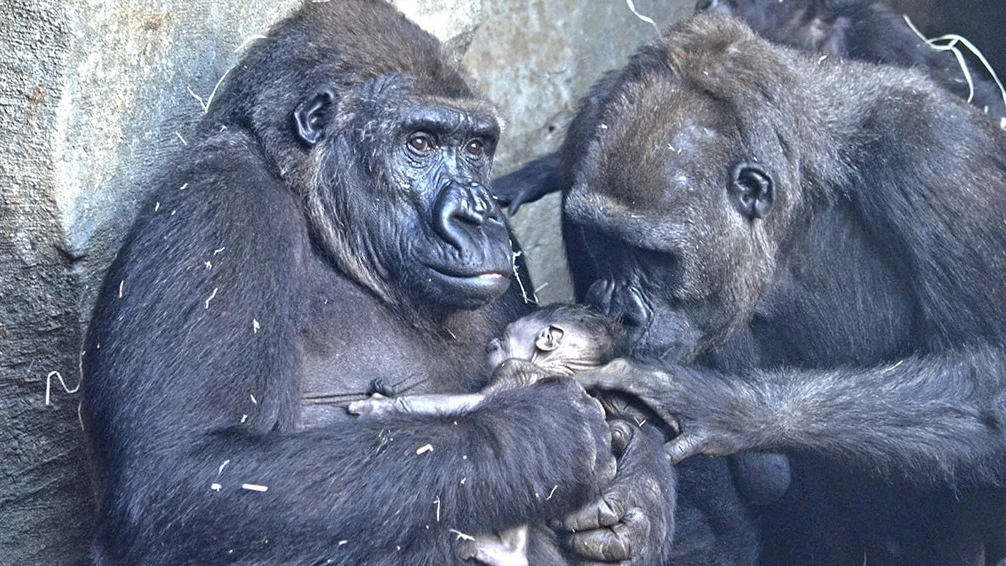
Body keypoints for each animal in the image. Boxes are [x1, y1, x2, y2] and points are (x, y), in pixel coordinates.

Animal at [78, 2, 676, 562]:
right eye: (421, 143)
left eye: (476, 148)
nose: (478, 213)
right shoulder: (216, 206)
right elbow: (189, 477)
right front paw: (543, 437)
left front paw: (640, 494)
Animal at [507, 12, 1006, 566]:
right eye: (601, 241)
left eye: (653, 257)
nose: (617, 308)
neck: (800, 198)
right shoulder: (584, 136)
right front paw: (644, 481)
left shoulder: (938, 157)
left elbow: (992, 379)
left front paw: (715, 407)